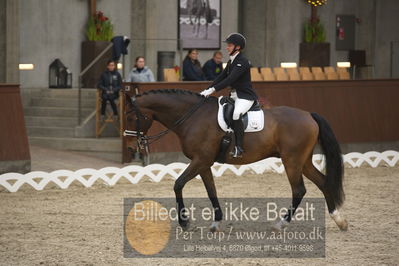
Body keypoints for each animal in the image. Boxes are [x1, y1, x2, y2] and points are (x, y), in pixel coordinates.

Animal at [123, 88, 348, 232]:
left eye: (131, 118)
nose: (131, 147)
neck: (192, 117)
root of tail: (309, 114)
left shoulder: (200, 160)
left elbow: (178, 184)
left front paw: (184, 222)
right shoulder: (203, 163)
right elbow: (211, 191)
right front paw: (216, 223)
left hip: (292, 161)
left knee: (299, 190)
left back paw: (281, 224)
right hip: (303, 161)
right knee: (323, 182)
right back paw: (338, 219)